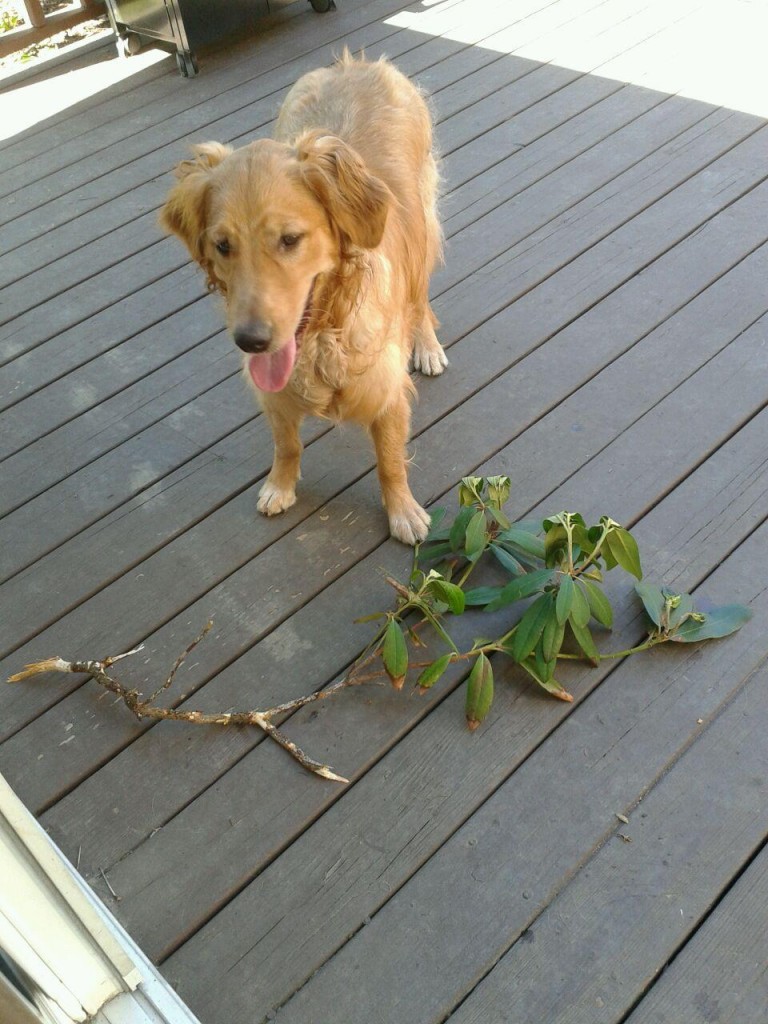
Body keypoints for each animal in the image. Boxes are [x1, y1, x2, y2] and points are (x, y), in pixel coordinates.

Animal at [163, 49, 450, 544]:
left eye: (290, 239)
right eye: (222, 245)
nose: (251, 341)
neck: (324, 333)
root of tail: (354, 61)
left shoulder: (386, 391)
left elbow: (390, 461)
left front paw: (402, 510)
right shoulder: (272, 394)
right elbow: (287, 443)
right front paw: (280, 485)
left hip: (424, 223)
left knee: (420, 296)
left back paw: (427, 344)